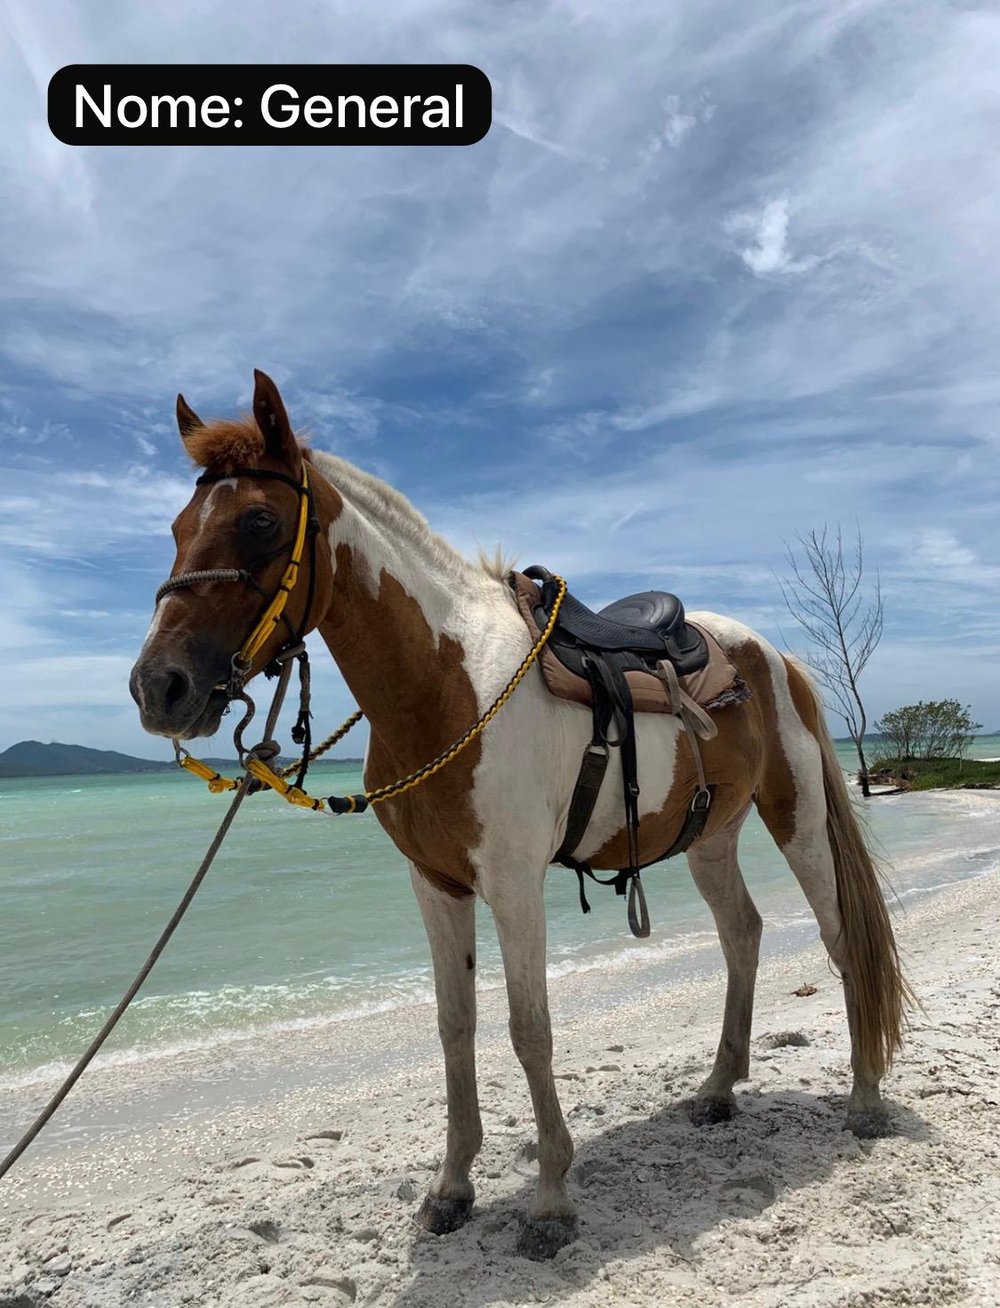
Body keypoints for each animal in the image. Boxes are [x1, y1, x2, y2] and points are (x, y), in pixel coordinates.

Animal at [129, 370, 909, 1260]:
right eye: (178, 527)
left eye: (259, 522)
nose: (158, 688)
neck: (442, 685)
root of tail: (774, 655)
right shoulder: (436, 886)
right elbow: (455, 1025)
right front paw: (451, 1187)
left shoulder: (513, 886)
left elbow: (528, 1028)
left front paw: (550, 1203)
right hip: (709, 836)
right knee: (741, 934)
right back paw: (717, 1089)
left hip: (797, 819)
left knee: (841, 939)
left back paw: (865, 1100)